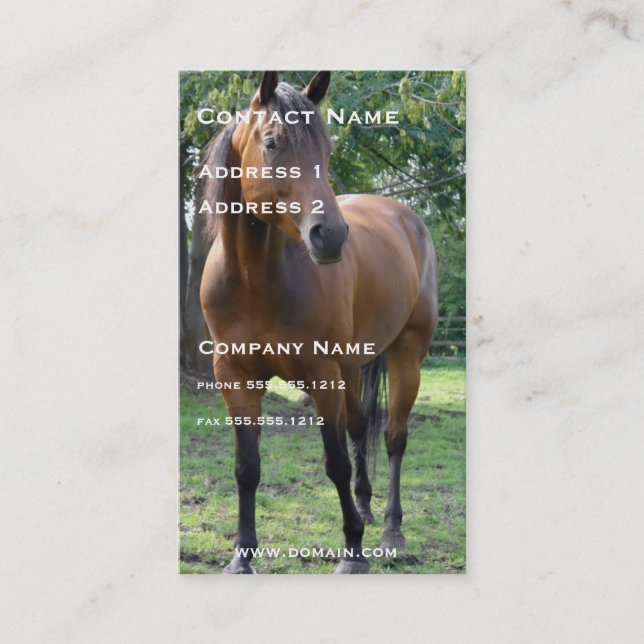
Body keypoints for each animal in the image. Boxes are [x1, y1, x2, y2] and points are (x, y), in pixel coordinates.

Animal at [199, 71, 438, 573]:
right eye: (272, 143)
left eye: (326, 150)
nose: (330, 236)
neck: (256, 278)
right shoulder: (234, 376)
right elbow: (247, 467)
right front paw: (241, 556)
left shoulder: (321, 373)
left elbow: (336, 464)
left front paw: (353, 552)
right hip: (353, 367)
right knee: (361, 427)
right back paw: (366, 507)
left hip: (407, 356)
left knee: (393, 438)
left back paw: (390, 530)